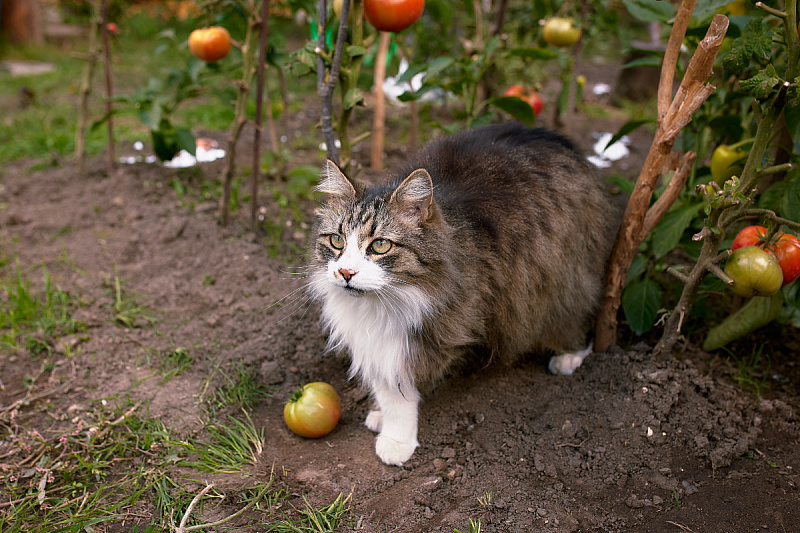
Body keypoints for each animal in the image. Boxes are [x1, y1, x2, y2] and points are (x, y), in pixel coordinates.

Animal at [306, 122, 620, 464]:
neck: (381, 305)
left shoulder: (436, 330)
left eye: (380, 246)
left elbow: (402, 392)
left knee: (580, 319)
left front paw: (397, 440)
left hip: (561, 280)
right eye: (337, 241)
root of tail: (559, 140)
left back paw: (569, 357)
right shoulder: (376, 340)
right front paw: (381, 415)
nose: (345, 273)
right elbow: (385, 386)